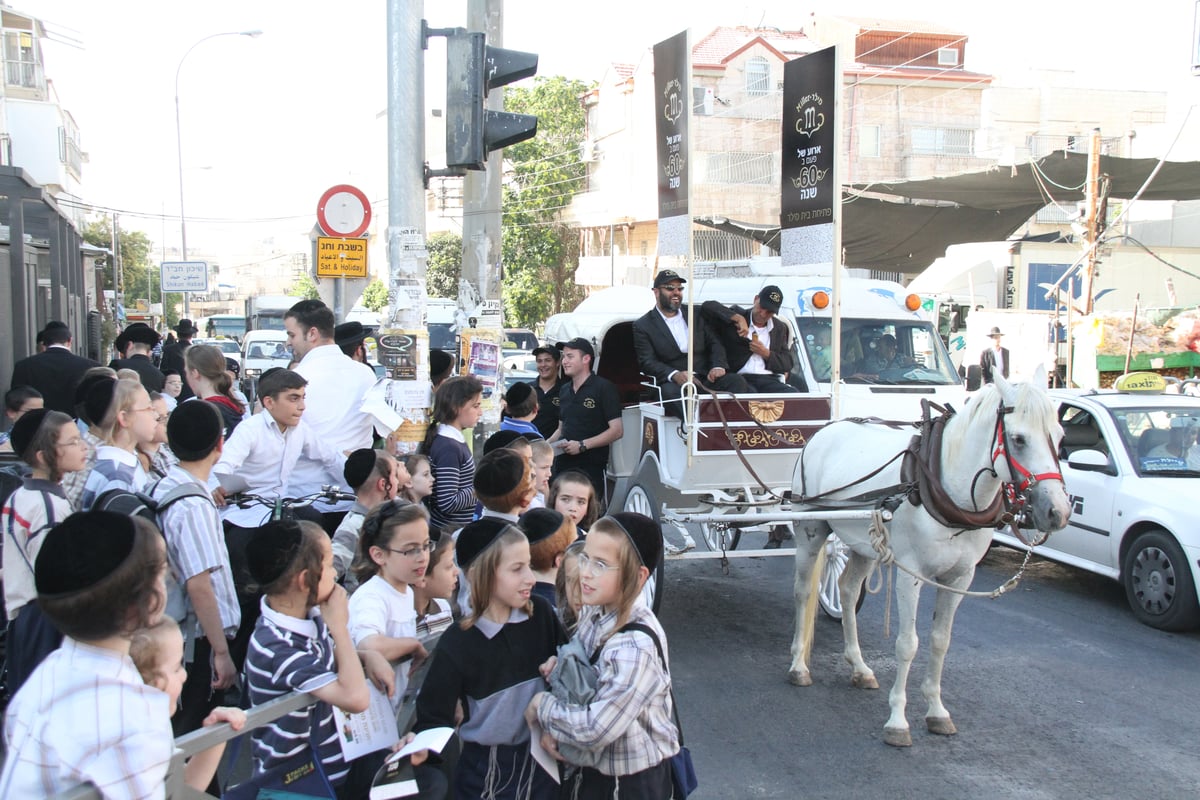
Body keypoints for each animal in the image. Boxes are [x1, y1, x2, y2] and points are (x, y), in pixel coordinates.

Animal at [787, 367, 1070, 743]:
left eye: (1060, 435)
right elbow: (908, 643)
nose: (1057, 512)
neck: (948, 487)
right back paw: (798, 665)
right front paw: (897, 720)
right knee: (803, 592)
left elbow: (940, 641)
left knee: (847, 590)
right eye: (1019, 439)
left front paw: (936, 711)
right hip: (811, 529)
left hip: (862, 541)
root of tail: (825, 429)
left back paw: (859, 667)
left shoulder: (961, 577)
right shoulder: (911, 573)